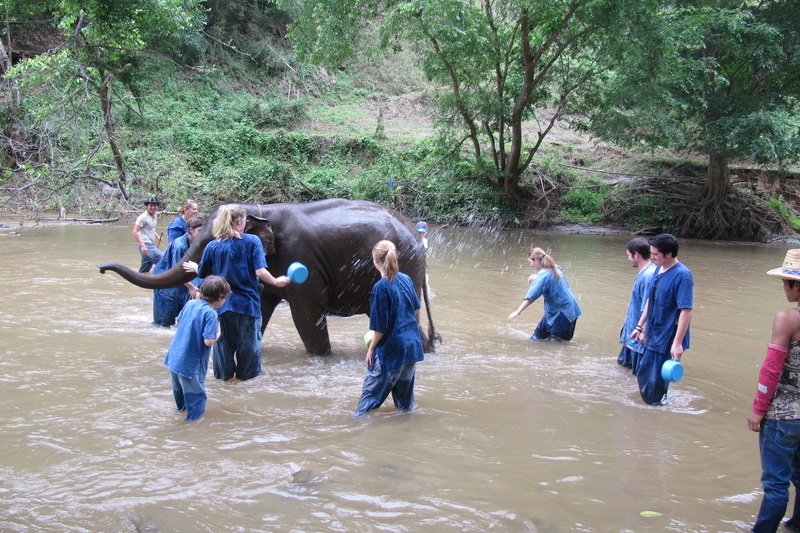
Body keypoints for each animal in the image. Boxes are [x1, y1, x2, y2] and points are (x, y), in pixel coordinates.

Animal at [98, 199, 440, 356]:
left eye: (212, 243)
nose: (101, 269)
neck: (260, 209)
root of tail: (417, 236)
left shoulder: (302, 257)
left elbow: (307, 315)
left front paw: (322, 358)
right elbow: (260, 308)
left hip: (403, 266)